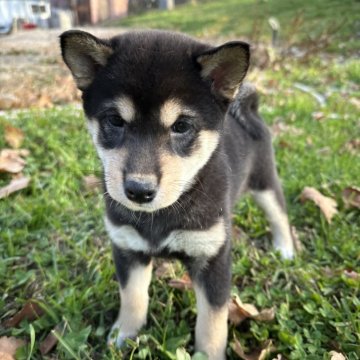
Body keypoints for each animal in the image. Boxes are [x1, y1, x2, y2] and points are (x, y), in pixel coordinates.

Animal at [59, 28, 296, 360]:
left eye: (181, 126)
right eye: (115, 121)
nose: (139, 191)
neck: (163, 214)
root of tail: (249, 108)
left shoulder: (212, 258)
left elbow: (212, 322)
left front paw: (208, 355)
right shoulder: (127, 248)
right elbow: (133, 297)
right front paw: (123, 335)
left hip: (264, 182)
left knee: (279, 214)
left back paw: (285, 249)